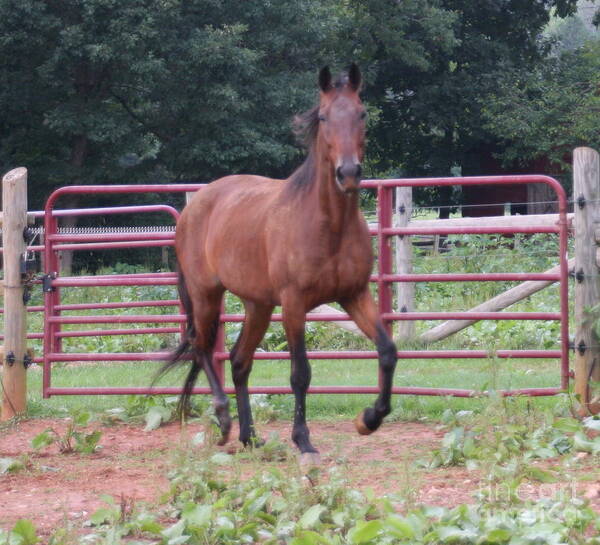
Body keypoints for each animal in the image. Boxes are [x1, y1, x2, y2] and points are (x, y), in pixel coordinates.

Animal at [162, 63, 398, 454]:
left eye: (362, 113)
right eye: (323, 116)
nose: (348, 173)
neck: (327, 225)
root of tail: (195, 205)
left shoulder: (355, 295)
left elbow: (387, 350)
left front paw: (368, 420)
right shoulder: (294, 304)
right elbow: (300, 373)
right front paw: (303, 440)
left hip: (258, 304)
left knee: (239, 362)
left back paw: (249, 436)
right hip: (206, 296)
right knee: (202, 349)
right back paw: (224, 421)